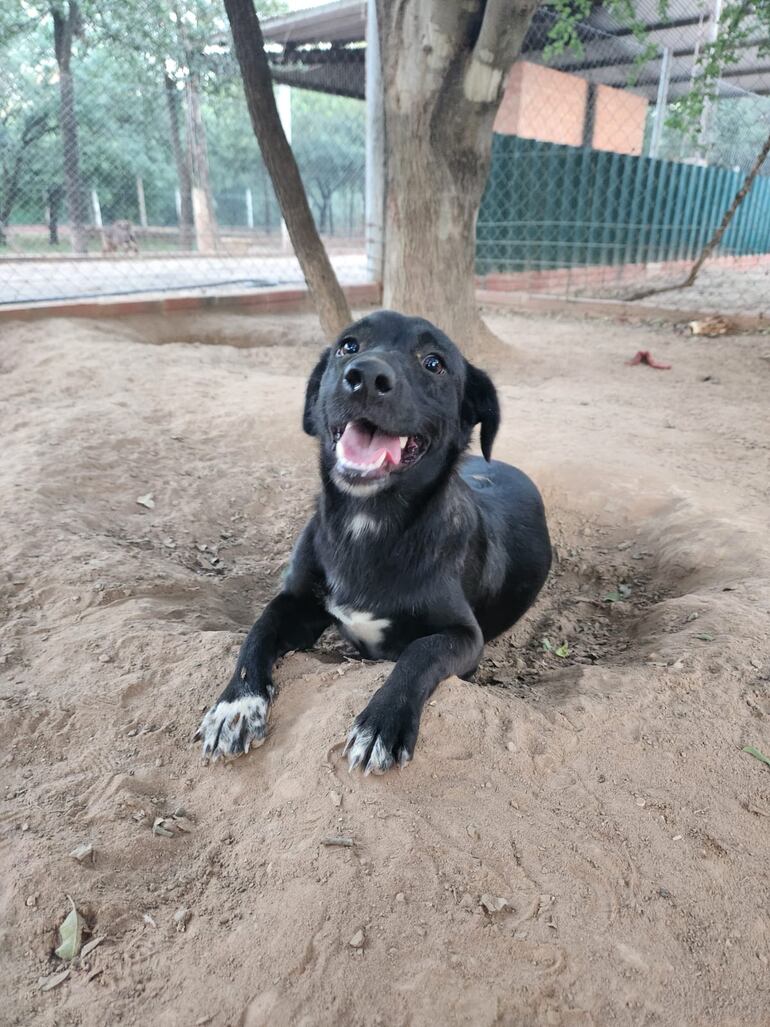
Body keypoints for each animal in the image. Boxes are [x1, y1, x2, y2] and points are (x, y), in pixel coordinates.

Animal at [196, 308, 550, 772]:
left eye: (434, 362)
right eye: (349, 345)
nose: (364, 376)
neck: (367, 526)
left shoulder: (465, 637)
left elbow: (420, 653)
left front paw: (382, 722)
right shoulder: (296, 603)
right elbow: (257, 632)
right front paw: (235, 706)